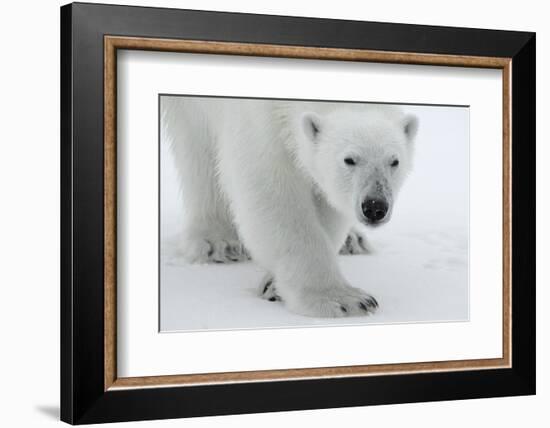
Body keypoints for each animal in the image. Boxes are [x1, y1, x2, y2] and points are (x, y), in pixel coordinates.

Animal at [163, 97, 418, 318]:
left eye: (394, 161)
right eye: (349, 159)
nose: (375, 206)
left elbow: (325, 198)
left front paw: (274, 285)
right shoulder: (254, 116)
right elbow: (270, 188)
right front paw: (343, 300)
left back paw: (352, 240)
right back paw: (219, 242)